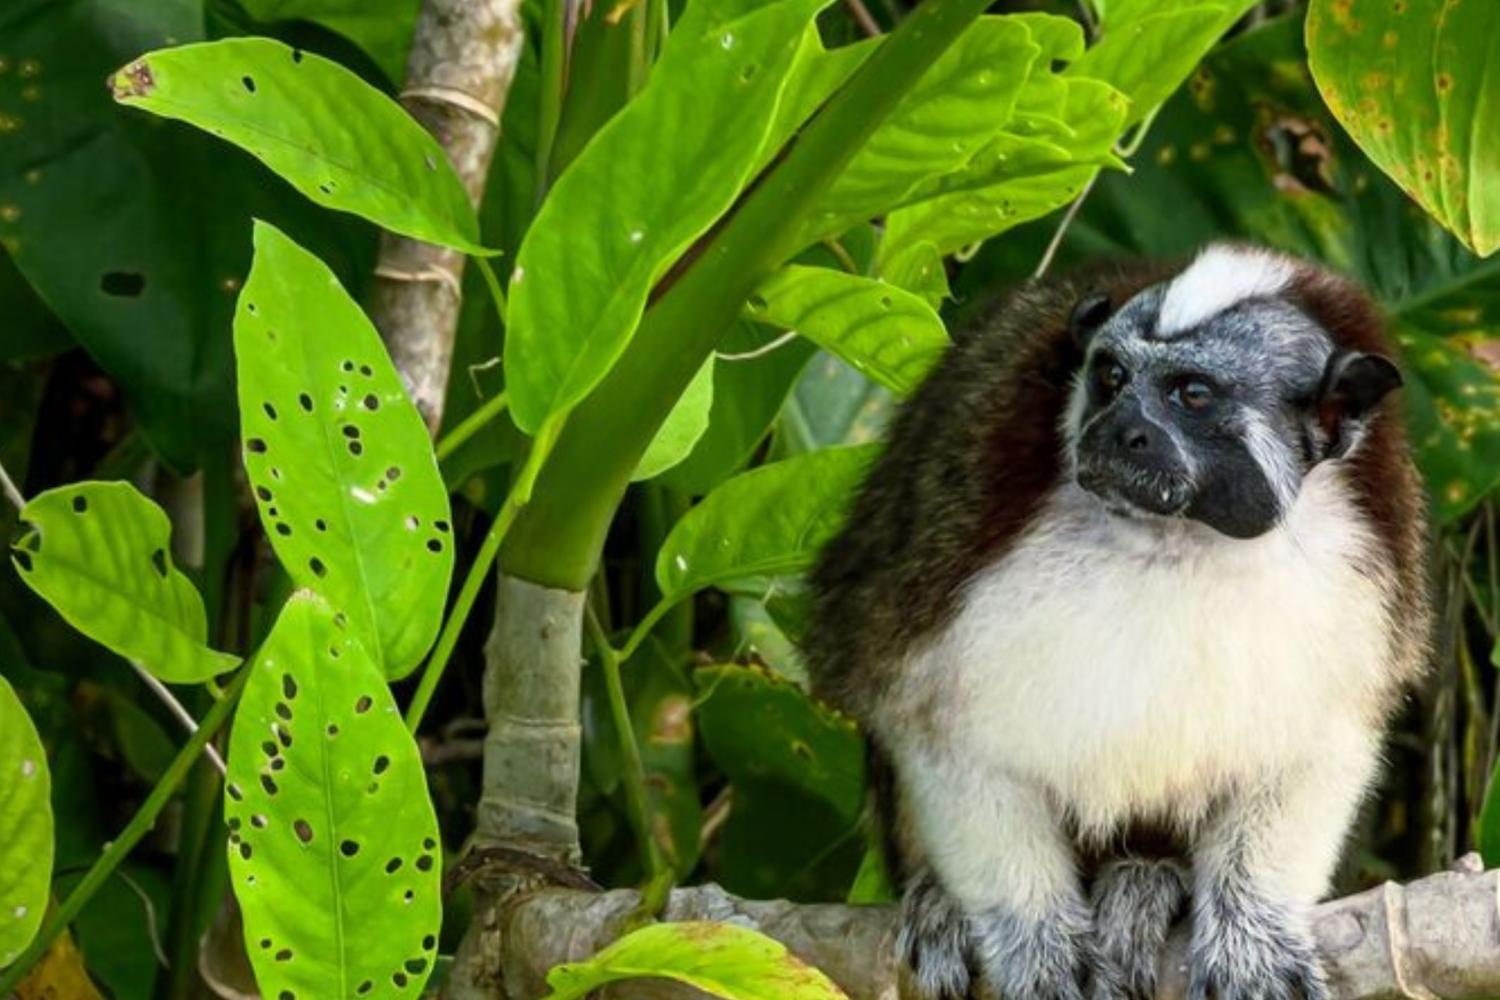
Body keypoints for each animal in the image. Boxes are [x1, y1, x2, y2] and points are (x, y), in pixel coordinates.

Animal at [804, 243, 1431, 1000]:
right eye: (1110, 378)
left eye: (1193, 395)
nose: (1115, 430)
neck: (1179, 537)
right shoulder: (954, 532)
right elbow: (939, 729)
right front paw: (1034, 937)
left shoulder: (1369, 577)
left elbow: (1317, 751)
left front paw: (1252, 935)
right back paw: (943, 901)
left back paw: (1146, 879)